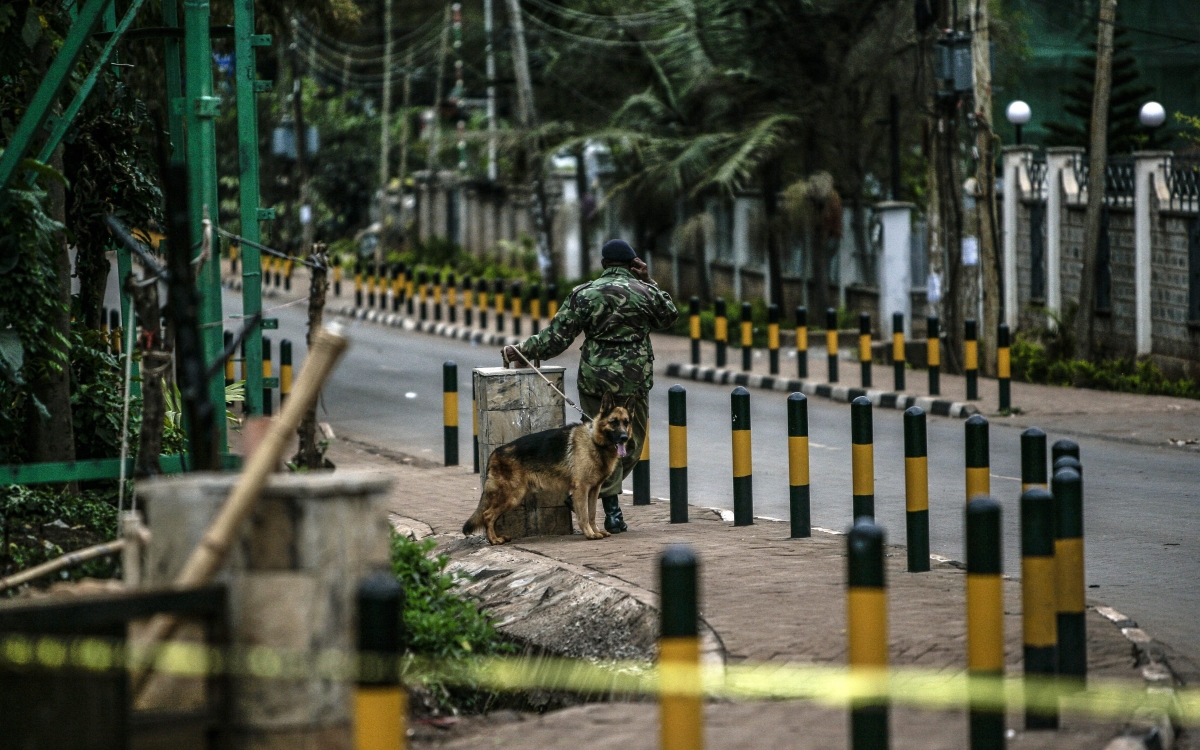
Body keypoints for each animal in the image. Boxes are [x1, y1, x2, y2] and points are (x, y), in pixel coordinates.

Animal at [460, 391, 633, 544]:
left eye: (626, 422)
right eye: (613, 422)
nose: (624, 438)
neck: (595, 441)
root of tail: (495, 453)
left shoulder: (594, 489)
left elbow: (592, 513)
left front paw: (596, 531)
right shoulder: (582, 489)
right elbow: (584, 515)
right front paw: (590, 534)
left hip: (512, 496)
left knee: (491, 516)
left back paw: (498, 537)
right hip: (513, 496)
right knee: (488, 515)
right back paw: (493, 540)